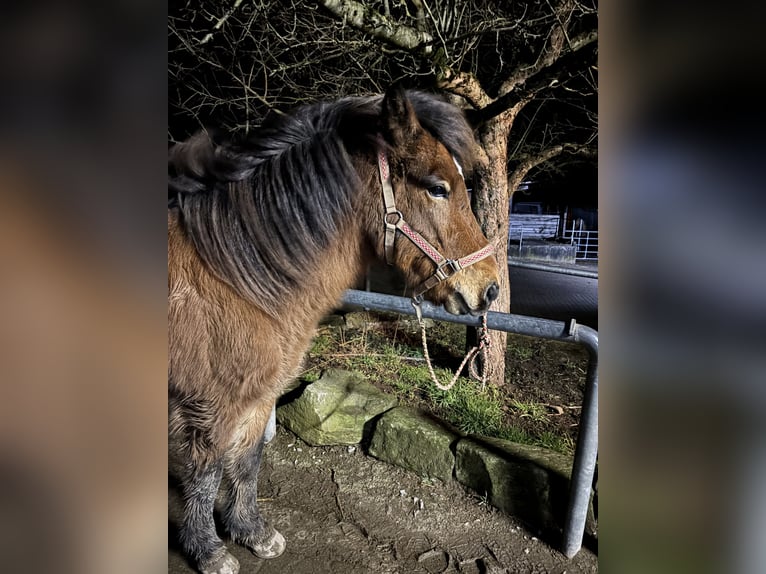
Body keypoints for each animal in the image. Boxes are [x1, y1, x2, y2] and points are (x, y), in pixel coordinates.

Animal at [168, 87, 500, 574]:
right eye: (437, 187)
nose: (490, 289)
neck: (231, 278)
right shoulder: (211, 405)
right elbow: (207, 473)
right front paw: (209, 551)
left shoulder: (257, 397)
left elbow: (247, 461)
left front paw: (252, 532)